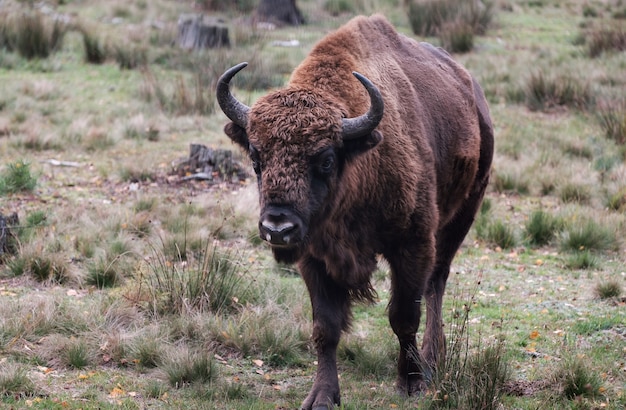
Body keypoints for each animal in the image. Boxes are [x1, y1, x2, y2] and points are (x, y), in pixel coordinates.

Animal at [214, 13, 492, 410]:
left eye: (327, 159)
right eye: (255, 157)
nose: (278, 228)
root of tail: (473, 92)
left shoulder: (413, 245)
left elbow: (404, 316)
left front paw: (410, 382)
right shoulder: (314, 257)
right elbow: (326, 328)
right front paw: (321, 396)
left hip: (462, 216)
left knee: (437, 283)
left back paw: (432, 360)